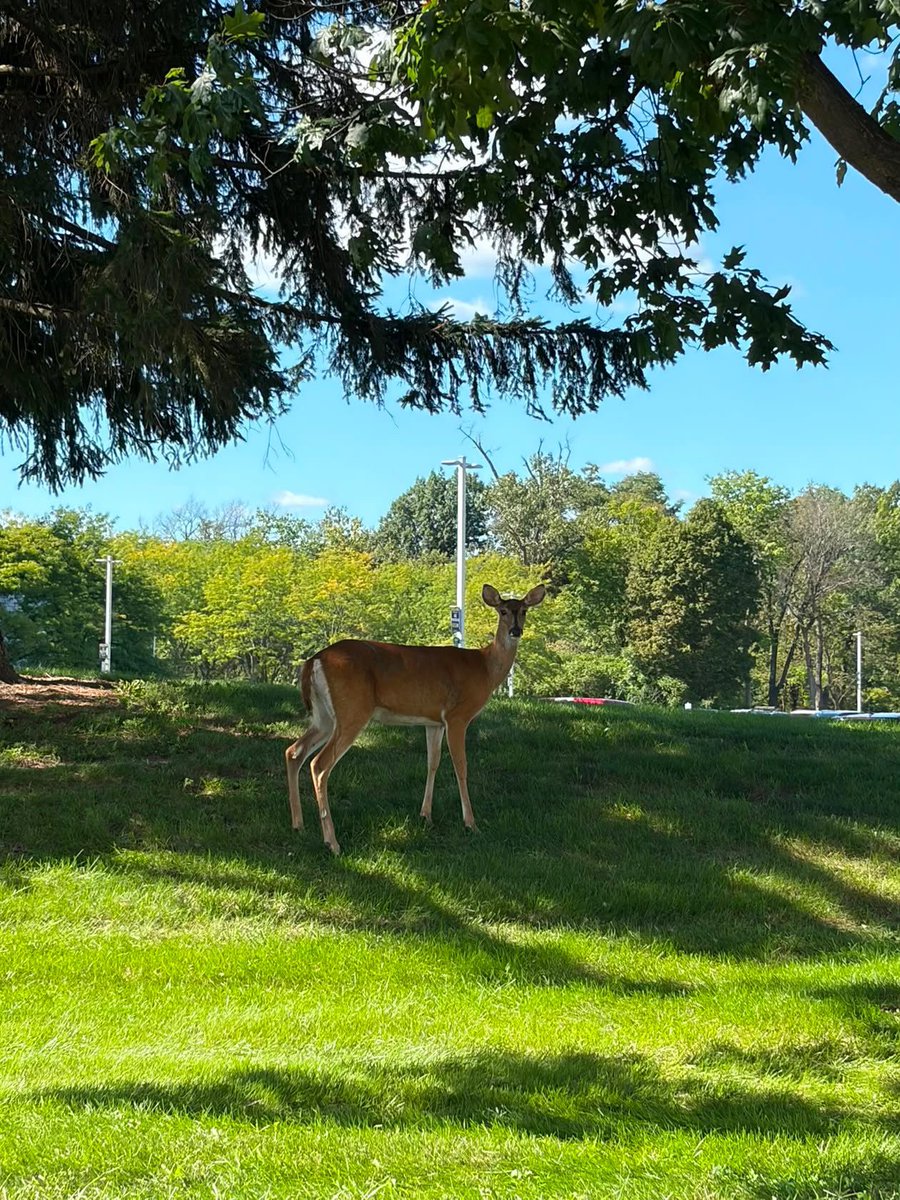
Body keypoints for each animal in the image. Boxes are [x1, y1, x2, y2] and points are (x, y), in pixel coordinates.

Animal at [285, 583, 546, 854]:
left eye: (524, 610)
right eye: (503, 611)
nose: (516, 630)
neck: (485, 668)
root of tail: (313, 660)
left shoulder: (434, 722)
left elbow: (432, 762)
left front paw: (426, 815)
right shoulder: (457, 715)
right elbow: (461, 766)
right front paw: (471, 823)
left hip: (324, 716)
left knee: (293, 751)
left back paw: (298, 825)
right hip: (352, 710)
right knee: (319, 764)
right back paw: (332, 842)